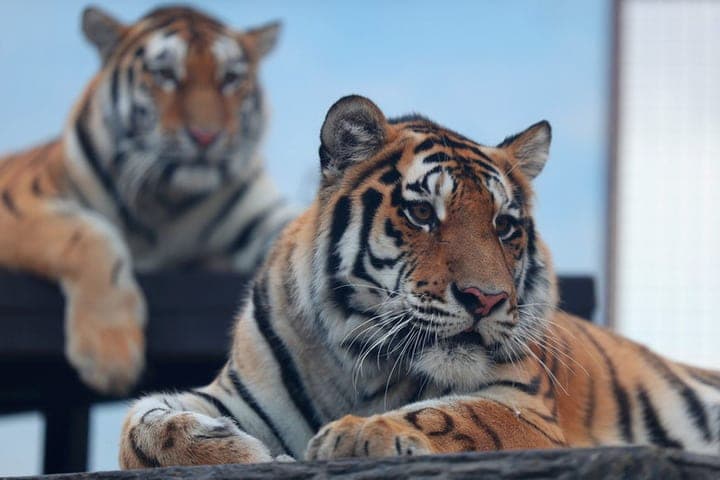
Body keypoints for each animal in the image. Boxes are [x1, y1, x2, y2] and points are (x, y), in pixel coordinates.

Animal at [0, 6, 294, 394]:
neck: (165, 202)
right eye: (166, 75)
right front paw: (110, 355)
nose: (206, 136)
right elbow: (90, 235)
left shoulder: (265, 219)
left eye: (230, 79)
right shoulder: (20, 202)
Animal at [119, 95, 720, 468]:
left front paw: (361, 434)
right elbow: (139, 424)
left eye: (505, 226)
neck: (358, 364)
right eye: (423, 214)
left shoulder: (527, 409)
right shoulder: (236, 393)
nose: (486, 299)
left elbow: (461, 415)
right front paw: (233, 449)